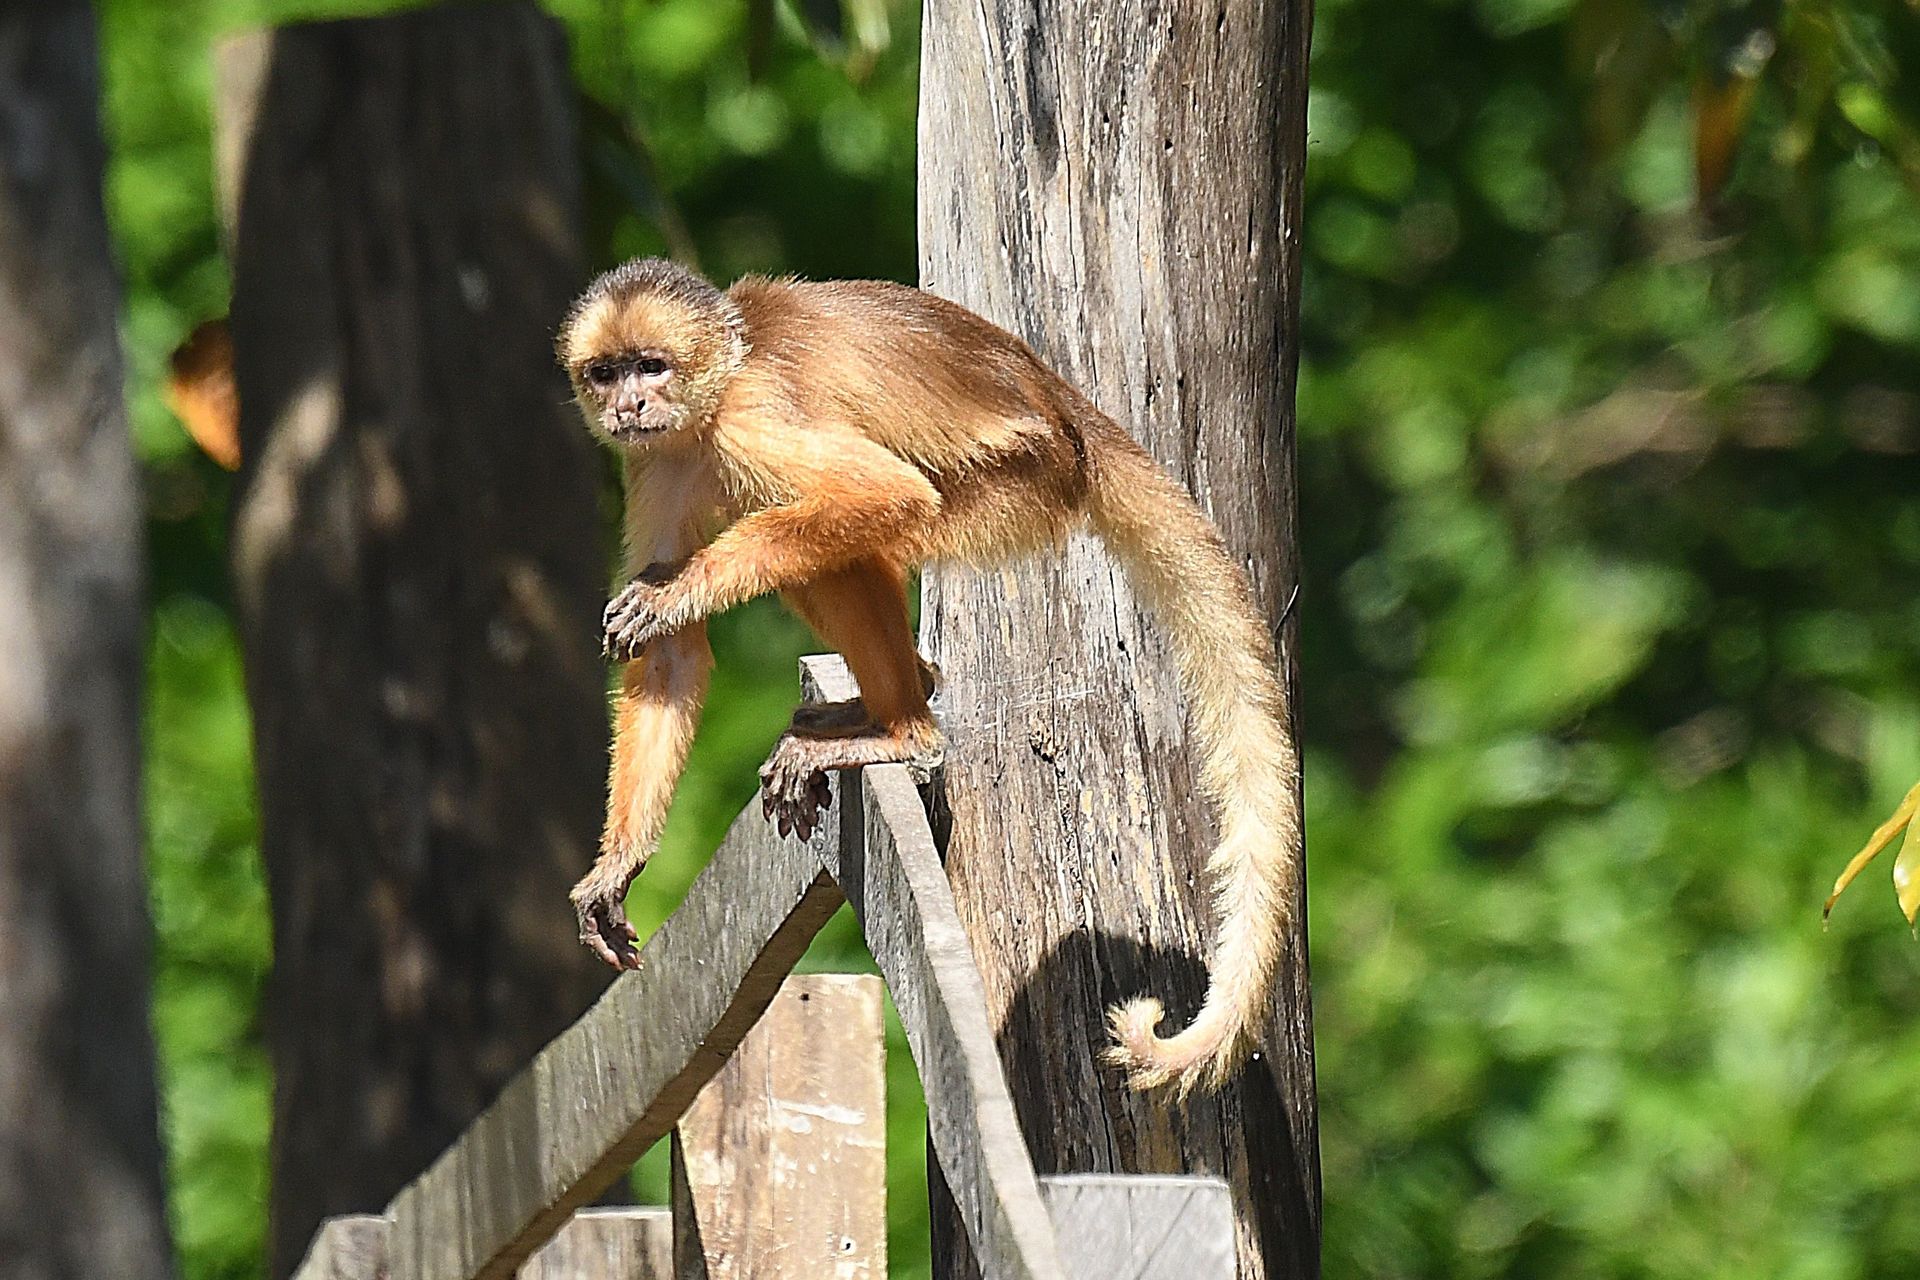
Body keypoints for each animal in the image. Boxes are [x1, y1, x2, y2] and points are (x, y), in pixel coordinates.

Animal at [556, 257, 1300, 1095]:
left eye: (652, 365)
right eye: (608, 371)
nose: (630, 403)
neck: (711, 398)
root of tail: (1067, 412)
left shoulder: (749, 418)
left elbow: (881, 493)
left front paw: (676, 591)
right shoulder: (651, 459)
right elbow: (671, 656)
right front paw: (619, 863)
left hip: (1015, 486)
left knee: (846, 526)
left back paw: (905, 733)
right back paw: (896, 698)